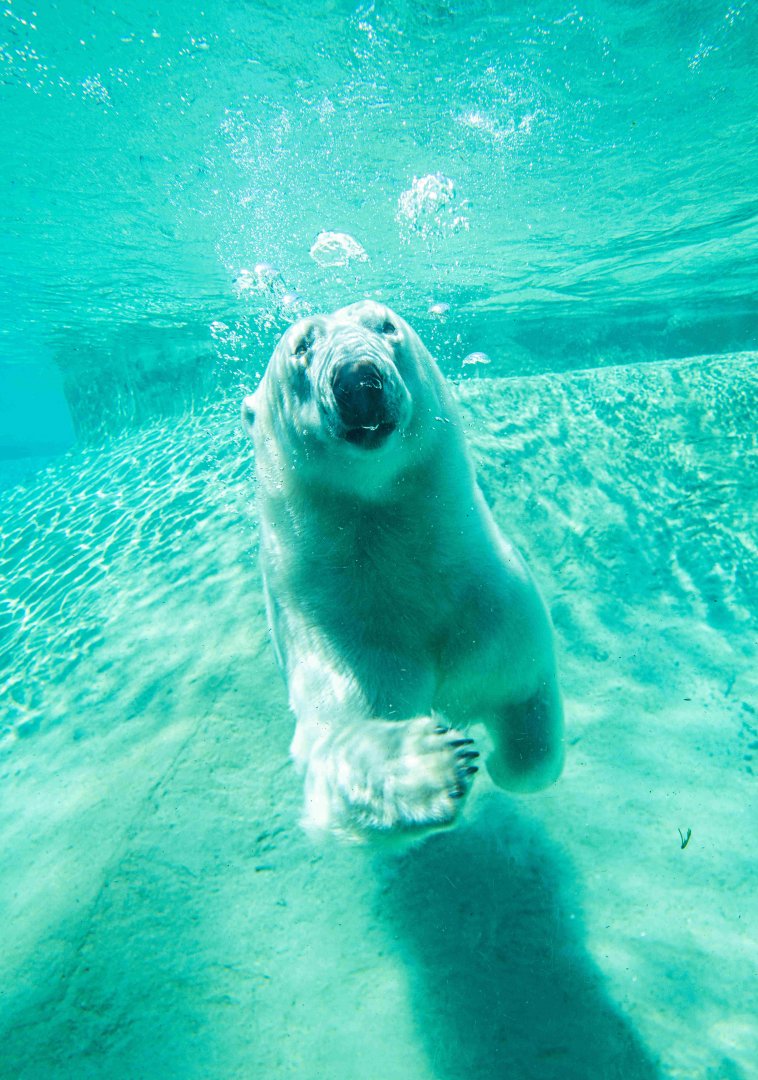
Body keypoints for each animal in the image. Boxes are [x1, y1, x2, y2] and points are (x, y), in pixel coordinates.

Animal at [242, 300, 564, 839]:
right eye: (303, 346)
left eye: (385, 325)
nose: (357, 379)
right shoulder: (340, 634)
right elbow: (335, 746)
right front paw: (436, 764)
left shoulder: (492, 609)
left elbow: (527, 708)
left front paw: (503, 760)